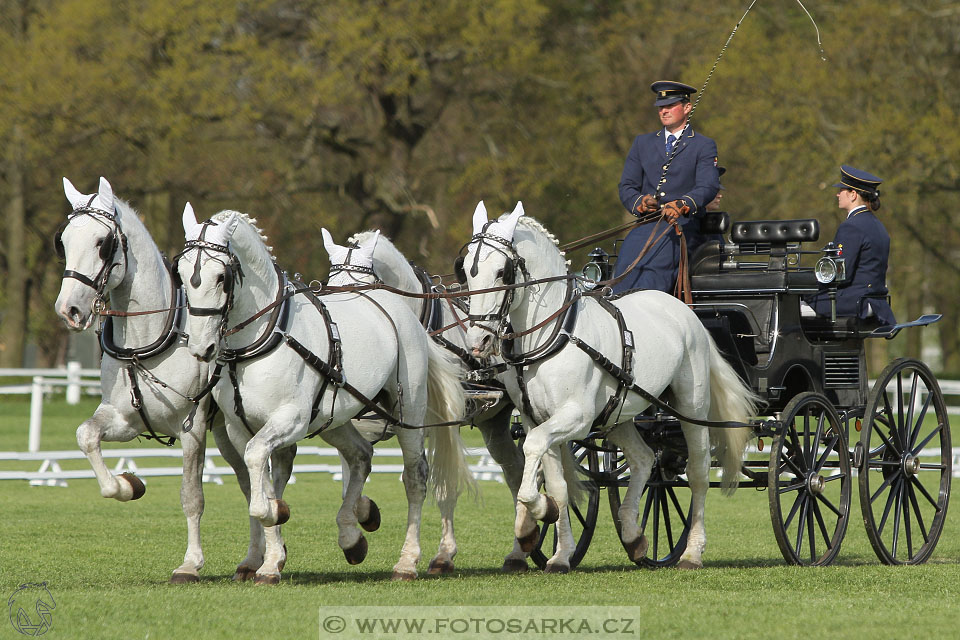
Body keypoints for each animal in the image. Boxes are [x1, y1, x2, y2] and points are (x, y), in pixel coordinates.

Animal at [52, 178, 284, 584]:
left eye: (102, 242)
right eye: (62, 241)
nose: (69, 310)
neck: (148, 338)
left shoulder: (191, 429)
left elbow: (192, 496)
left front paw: (190, 564)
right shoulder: (124, 420)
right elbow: (86, 436)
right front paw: (128, 484)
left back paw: (275, 556)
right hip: (229, 434)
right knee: (247, 481)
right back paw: (253, 560)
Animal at [178, 209, 466, 580]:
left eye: (221, 276)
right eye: (182, 274)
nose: (202, 348)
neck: (263, 338)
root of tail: (400, 309)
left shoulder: (292, 419)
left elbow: (259, 471)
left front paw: (274, 513)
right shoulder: (240, 428)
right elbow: (261, 476)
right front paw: (272, 557)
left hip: (408, 413)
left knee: (415, 478)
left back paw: (407, 560)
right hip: (335, 418)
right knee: (360, 456)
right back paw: (351, 537)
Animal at [460, 201, 756, 568]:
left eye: (502, 272)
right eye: (467, 272)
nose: (478, 342)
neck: (554, 334)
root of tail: (684, 310)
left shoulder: (577, 417)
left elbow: (534, 452)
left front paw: (538, 515)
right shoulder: (536, 419)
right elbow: (558, 484)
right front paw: (559, 550)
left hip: (691, 407)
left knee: (698, 472)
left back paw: (692, 552)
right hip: (620, 415)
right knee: (644, 458)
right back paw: (634, 536)